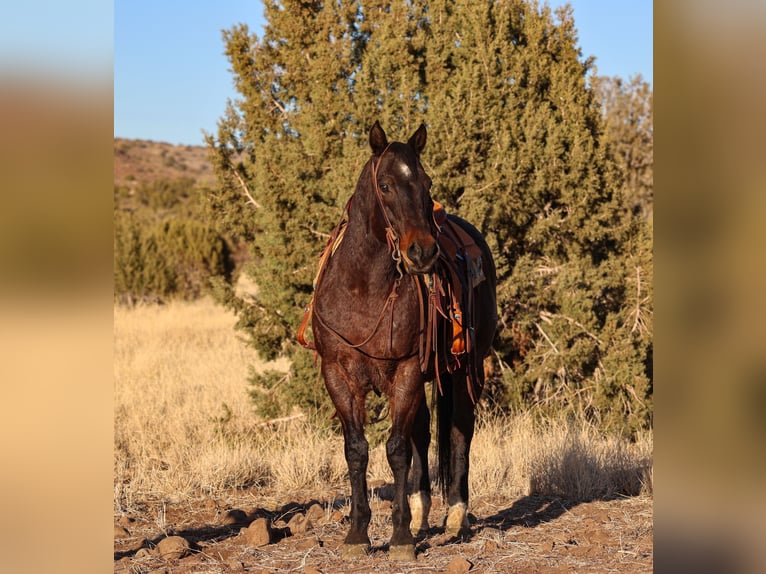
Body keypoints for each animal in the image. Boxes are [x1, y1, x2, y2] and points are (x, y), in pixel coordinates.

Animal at [304, 122, 500, 564]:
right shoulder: (337, 375)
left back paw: (455, 517)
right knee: (424, 433)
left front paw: (400, 538)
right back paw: (421, 510)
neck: (363, 289)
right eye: (386, 185)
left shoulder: (407, 371)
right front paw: (358, 534)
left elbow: (396, 449)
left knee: (460, 432)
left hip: (467, 370)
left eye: (426, 183)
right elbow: (358, 449)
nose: (422, 251)